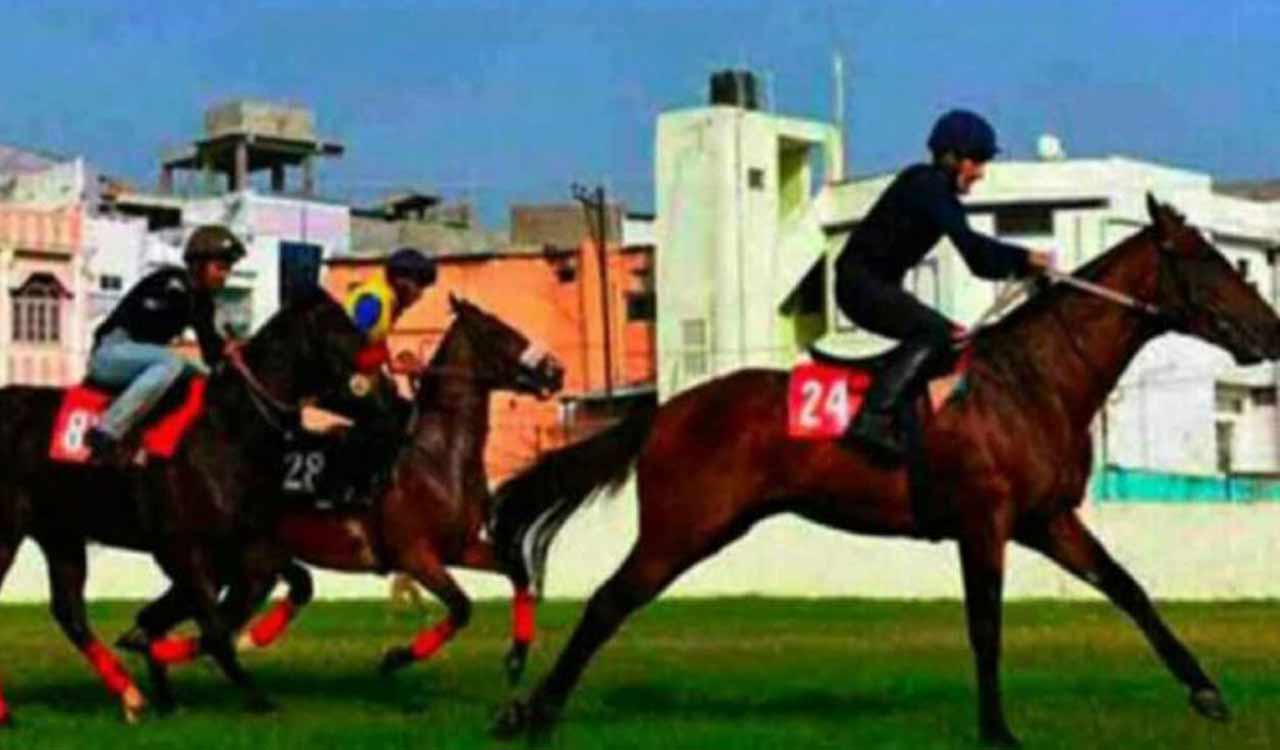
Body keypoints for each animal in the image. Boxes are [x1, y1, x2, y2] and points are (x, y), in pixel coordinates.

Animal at [0, 289, 396, 724]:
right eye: (347, 336)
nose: (396, 402)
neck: (228, 430)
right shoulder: (182, 549)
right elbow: (214, 628)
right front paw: (258, 697)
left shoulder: (245, 544)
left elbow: (291, 586)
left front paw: (163, 669)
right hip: (9, 531)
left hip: (61, 534)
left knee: (70, 612)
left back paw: (131, 696)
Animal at [115, 295, 566, 711]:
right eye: (499, 332)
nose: (555, 370)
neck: (437, 455)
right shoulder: (416, 555)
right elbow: (461, 607)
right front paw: (396, 657)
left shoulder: (461, 546)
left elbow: (517, 572)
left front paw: (517, 658)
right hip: (231, 564)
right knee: (195, 627)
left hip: (234, 567)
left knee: (166, 623)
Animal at [488, 196, 1280, 746]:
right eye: (1213, 263)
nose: (1271, 331)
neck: (1034, 379)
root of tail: (666, 410)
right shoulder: (984, 522)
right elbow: (985, 625)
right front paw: (997, 730)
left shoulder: (1046, 519)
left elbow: (1128, 589)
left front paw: (1206, 693)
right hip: (683, 529)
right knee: (606, 604)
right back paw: (530, 713)